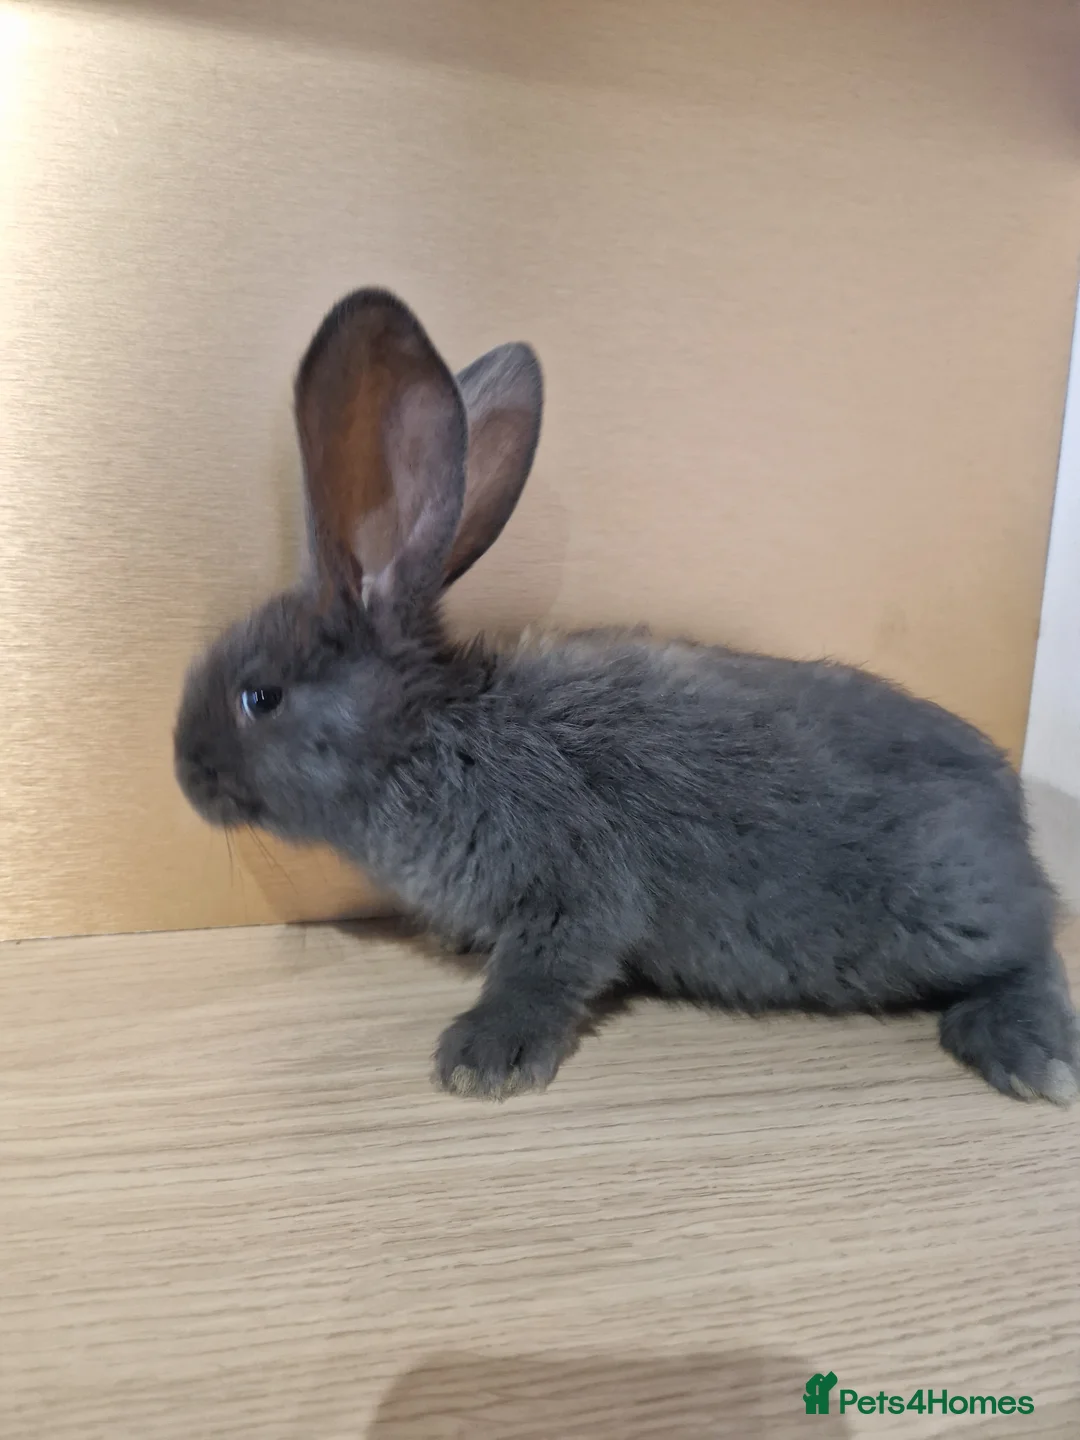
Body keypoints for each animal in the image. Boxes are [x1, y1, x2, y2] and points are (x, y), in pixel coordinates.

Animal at [174, 287, 1078, 1106]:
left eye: (260, 697)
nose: (184, 773)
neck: (433, 735)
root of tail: (1014, 819)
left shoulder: (572, 885)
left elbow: (548, 970)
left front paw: (482, 1059)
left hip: (948, 916)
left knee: (1033, 952)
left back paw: (1028, 1056)